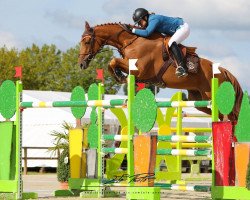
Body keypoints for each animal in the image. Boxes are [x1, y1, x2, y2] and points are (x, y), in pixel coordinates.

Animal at [78, 21, 242, 121]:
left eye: (87, 41)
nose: (81, 64)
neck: (131, 41)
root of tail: (223, 71)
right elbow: (112, 64)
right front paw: (120, 76)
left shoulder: (141, 70)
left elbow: (113, 62)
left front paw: (120, 76)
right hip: (198, 99)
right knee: (220, 115)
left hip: (211, 95)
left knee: (230, 116)